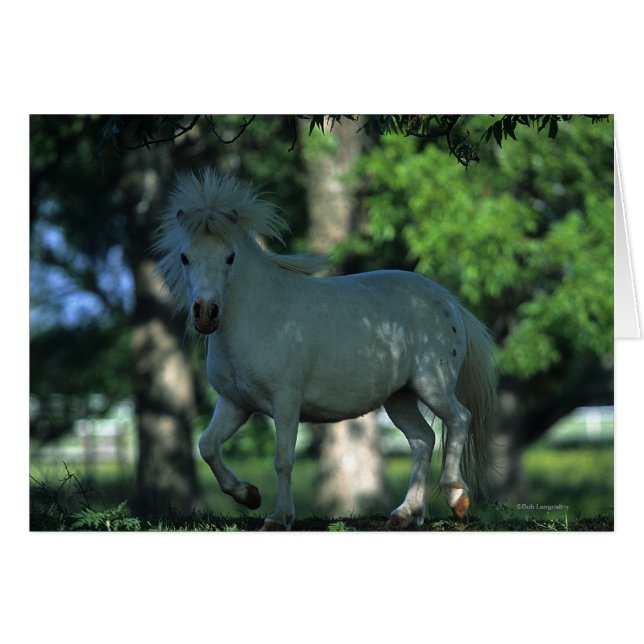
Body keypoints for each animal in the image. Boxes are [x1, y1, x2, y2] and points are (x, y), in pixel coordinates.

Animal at [155, 169, 497, 530]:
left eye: (229, 257)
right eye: (185, 257)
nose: (206, 314)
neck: (260, 313)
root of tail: (449, 300)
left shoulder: (285, 402)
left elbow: (283, 460)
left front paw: (278, 517)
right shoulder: (235, 404)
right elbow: (207, 446)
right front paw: (248, 495)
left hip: (432, 385)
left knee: (459, 419)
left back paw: (457, 498)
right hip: (400, 397)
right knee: (422, 440)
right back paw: (405, 513)